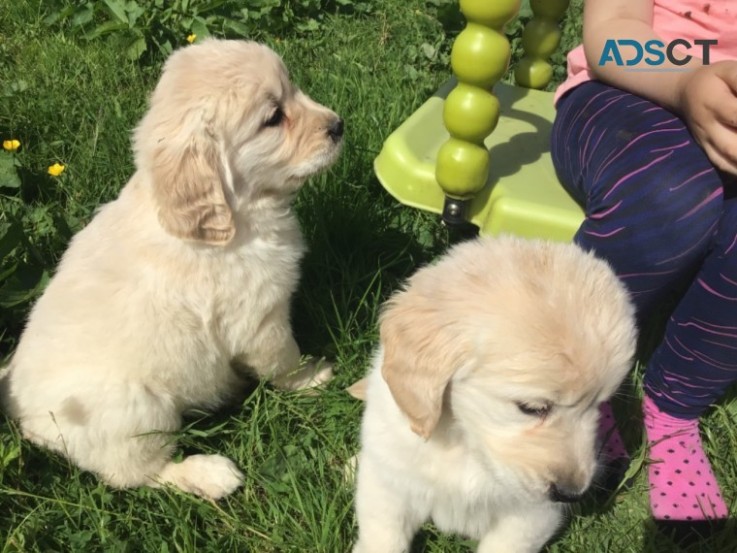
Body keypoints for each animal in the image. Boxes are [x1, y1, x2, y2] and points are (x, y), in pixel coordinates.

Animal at [3, 40, 342, 500]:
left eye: (292, 89)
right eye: (273, 117)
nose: (338, 125)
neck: (234, 214)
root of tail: (21, 412)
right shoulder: (258, 318)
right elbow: (282, 360)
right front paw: (311, 379)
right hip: (137, 411)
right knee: (138, 474)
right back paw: (210, 474)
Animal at [350, 236, 632, 552]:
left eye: (600, 405)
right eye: (532, 407)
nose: (572, 493)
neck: (466, 445)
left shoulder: (533, 515)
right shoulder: (389, 487)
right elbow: (384, 537)